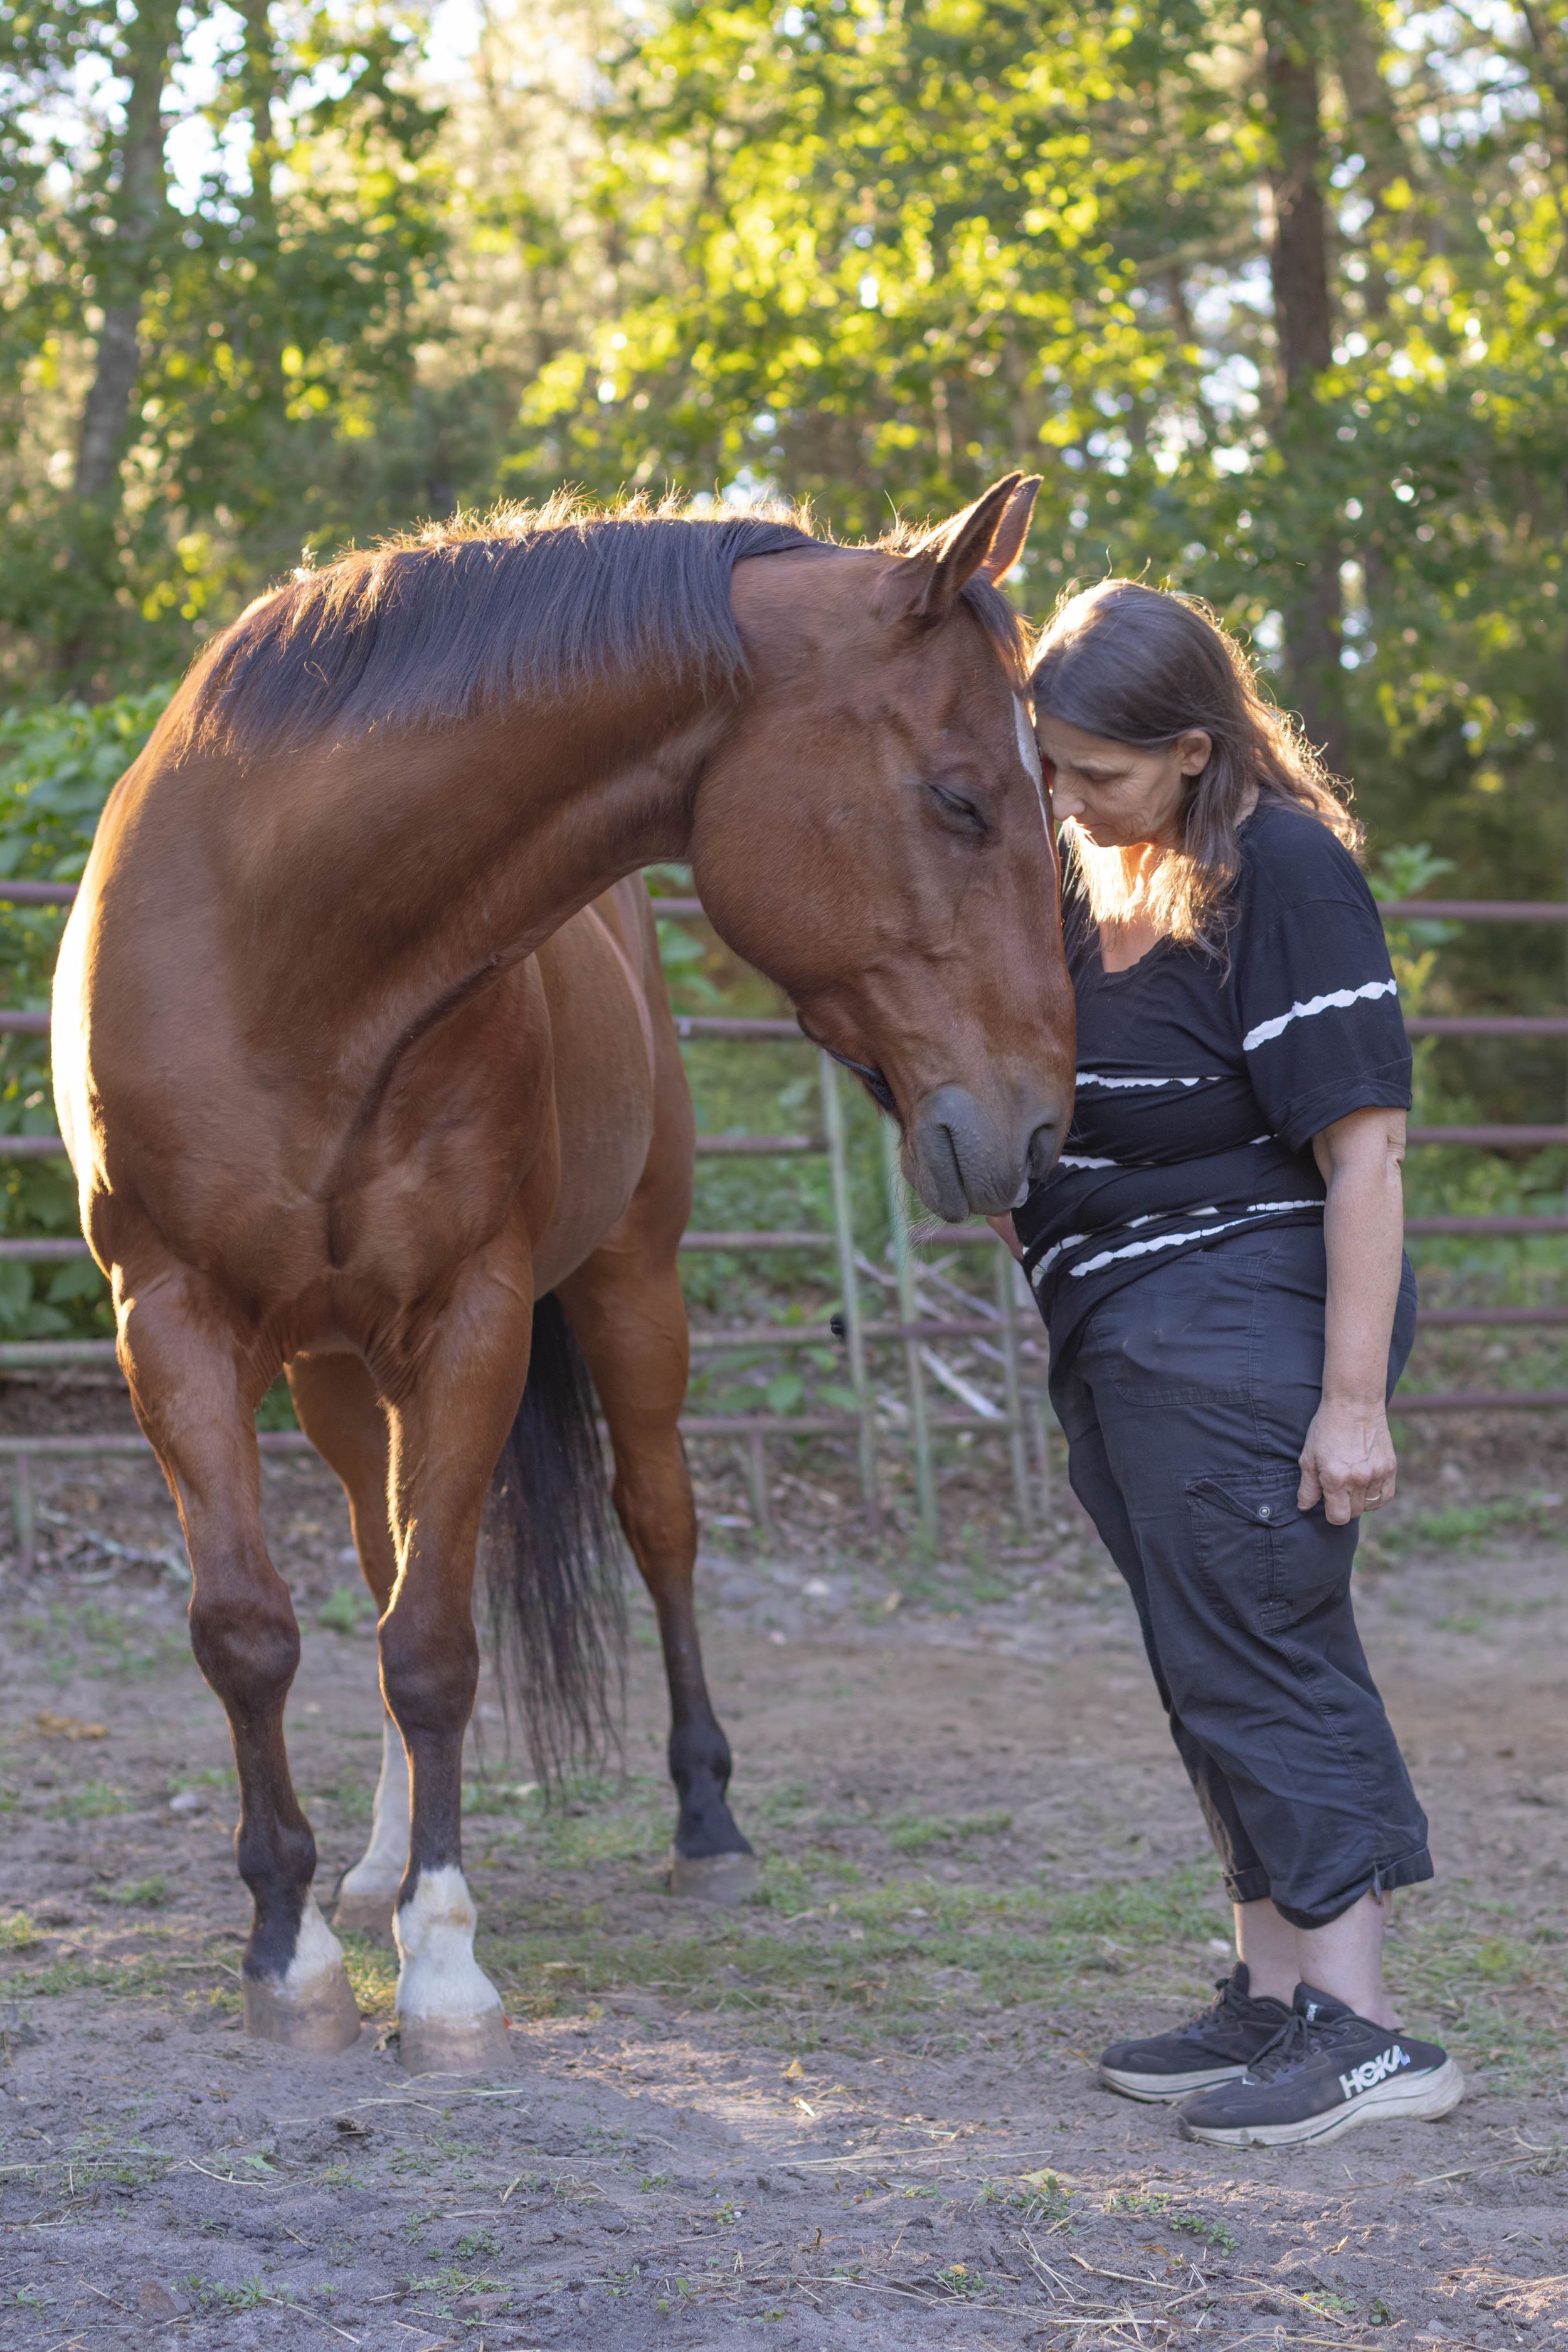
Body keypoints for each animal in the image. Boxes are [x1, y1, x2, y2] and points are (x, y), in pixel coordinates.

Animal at [52, 475, 1074, 2073]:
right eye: (961, 798)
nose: (1032, 1127)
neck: (288, 955)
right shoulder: (171, 1327)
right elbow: (254, 1633)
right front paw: (292, 1947)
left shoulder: (473, 1320)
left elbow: (435, 1646)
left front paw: (442, 1968)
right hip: (336, 1373)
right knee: (383, 1552)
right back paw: (375, 1863)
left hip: (627, 1292)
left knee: (655, 1528)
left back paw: (705, 1824)